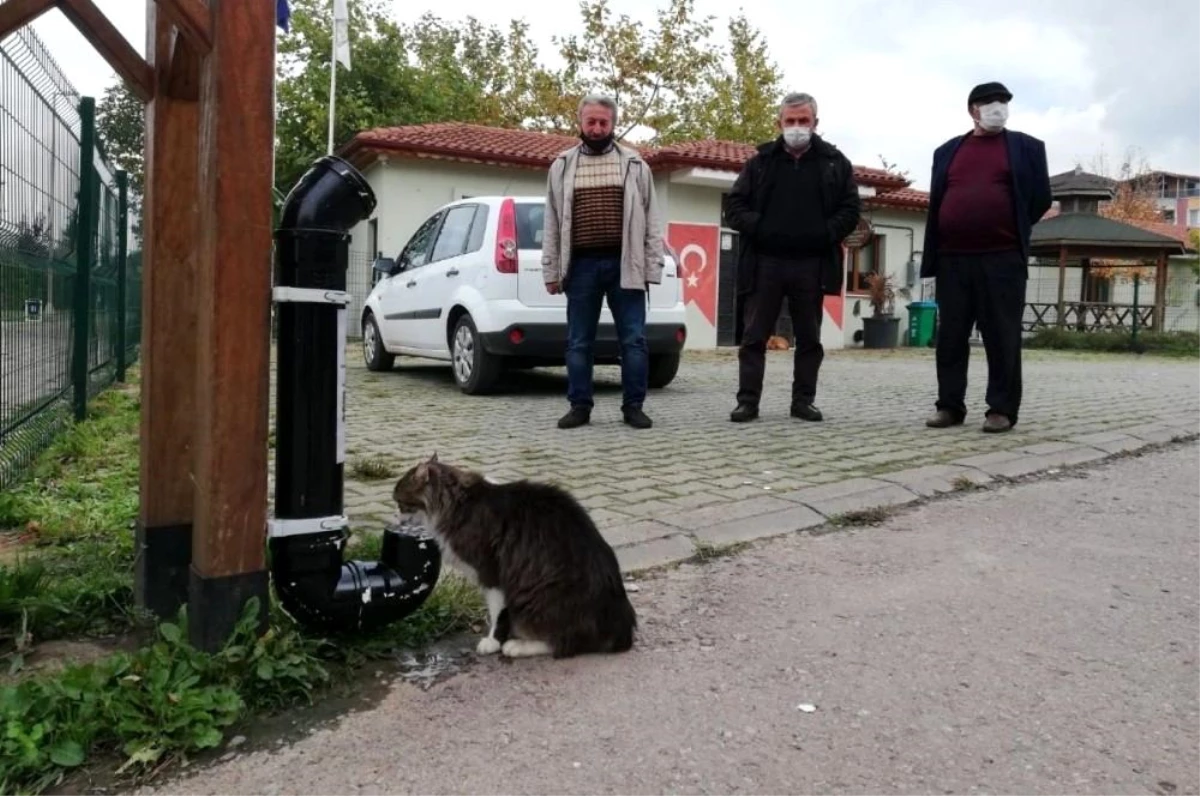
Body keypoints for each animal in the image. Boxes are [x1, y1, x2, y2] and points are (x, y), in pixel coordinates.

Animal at [391, 453, 638, 657]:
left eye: (400, 503)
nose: (396, 520)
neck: (458, 502)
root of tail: (622, 627)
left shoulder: (491, 573)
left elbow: (497, 613)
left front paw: (493, 641)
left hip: (537, 598)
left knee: (562, 643)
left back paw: (518, 646)